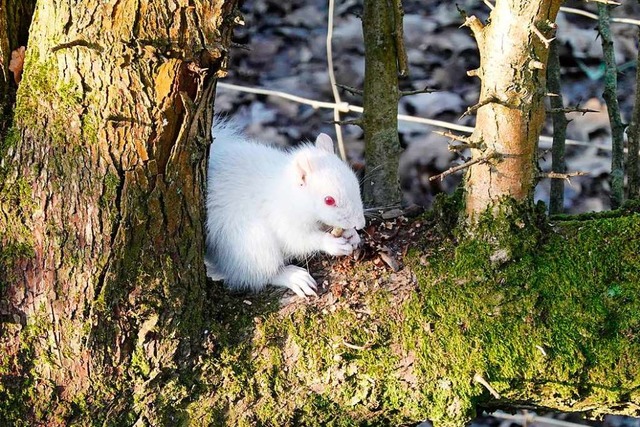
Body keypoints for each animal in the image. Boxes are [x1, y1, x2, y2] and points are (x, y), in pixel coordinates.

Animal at [205, 118, 364, 300]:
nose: (360, 224)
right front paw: (331, 243)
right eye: (329, 200)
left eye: (355, 181)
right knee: (259, 275)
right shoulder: (281, 218)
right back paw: (292, 276)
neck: (292, 195)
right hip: (252, 244)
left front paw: (352, 234)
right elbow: (298, 239)